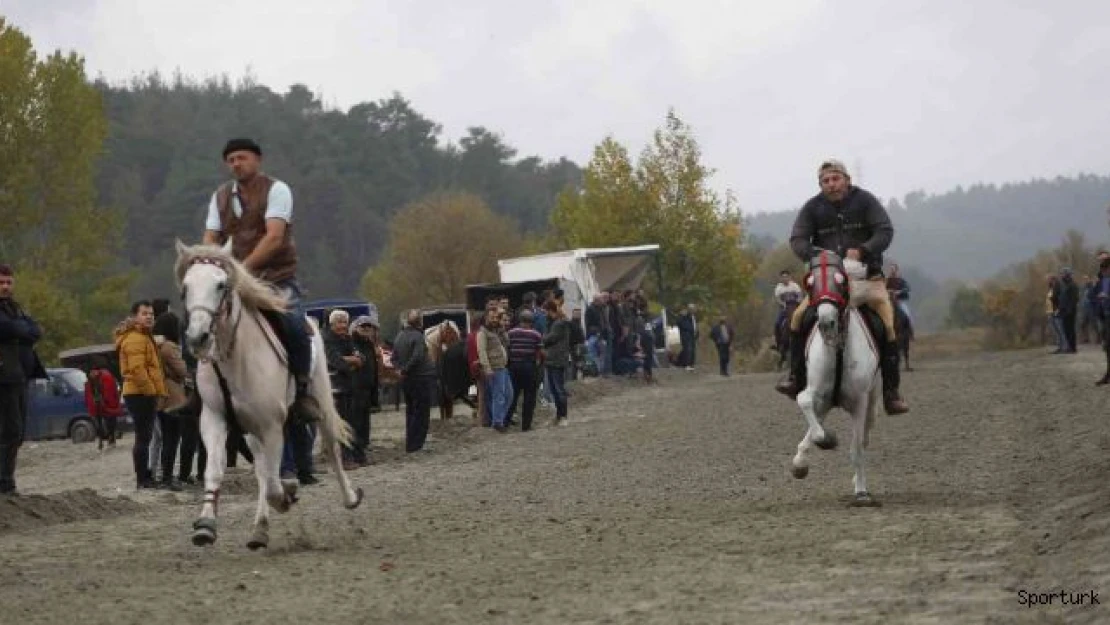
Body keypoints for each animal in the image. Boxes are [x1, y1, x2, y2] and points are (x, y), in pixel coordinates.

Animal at [173, 239, 364, 548]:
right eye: (186, 287)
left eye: (220, 285)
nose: (197, 338)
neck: (234, 359)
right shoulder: (215, 418)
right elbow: (216, 472)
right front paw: (205, 526)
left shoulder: (272, 425)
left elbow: (275, 486)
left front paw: (286, 497)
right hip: (252, 431)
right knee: (264, 470)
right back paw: (260, 529)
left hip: (320, 402)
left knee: (331, 448)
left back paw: (349, 497)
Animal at [790, 249, 883, 508]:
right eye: (810, 282)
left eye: (841, 281)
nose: (826, 323)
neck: (838, 349)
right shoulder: (816, 391)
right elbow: (804, 401)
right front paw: (825, 441)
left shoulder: (860, 402)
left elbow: (857, 448)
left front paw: (861, 491)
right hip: (826, 401)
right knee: (816, 418)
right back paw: (801, 460)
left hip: (872, 398)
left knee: (865, 436)